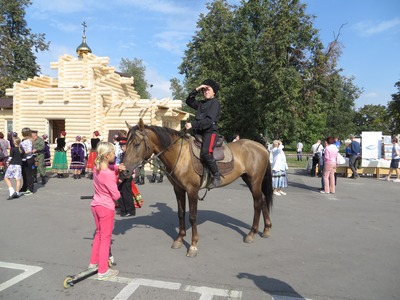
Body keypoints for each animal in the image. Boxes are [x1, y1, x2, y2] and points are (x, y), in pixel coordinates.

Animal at [120, 119, 274, 258]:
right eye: (126, 143)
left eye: (137, 144)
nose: (123, 171)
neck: (180, 155)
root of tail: (261, 147)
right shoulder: (178, 189)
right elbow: (181, 214)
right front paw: (179, 239)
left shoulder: (192, 191)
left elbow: (193, 217)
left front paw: (193, 246)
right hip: (249, 180)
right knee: (263, 200)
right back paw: (266, 229)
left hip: (254, 181)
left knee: (257, 203)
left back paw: (251, 233)